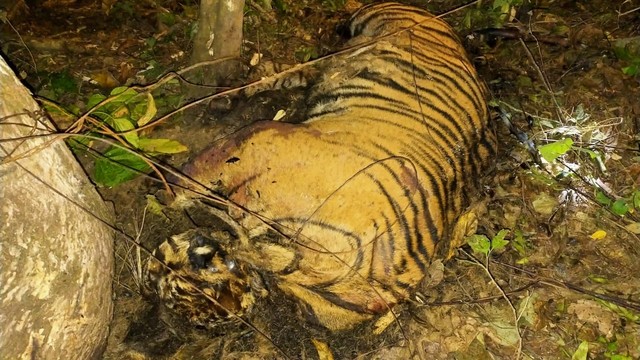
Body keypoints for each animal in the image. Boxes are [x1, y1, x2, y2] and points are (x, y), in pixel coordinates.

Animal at [145, 2, 496, 332]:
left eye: (174, 285)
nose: (151, 268)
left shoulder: (259, 139)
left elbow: (195, 174)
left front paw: (160, 187)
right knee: (289, 74)